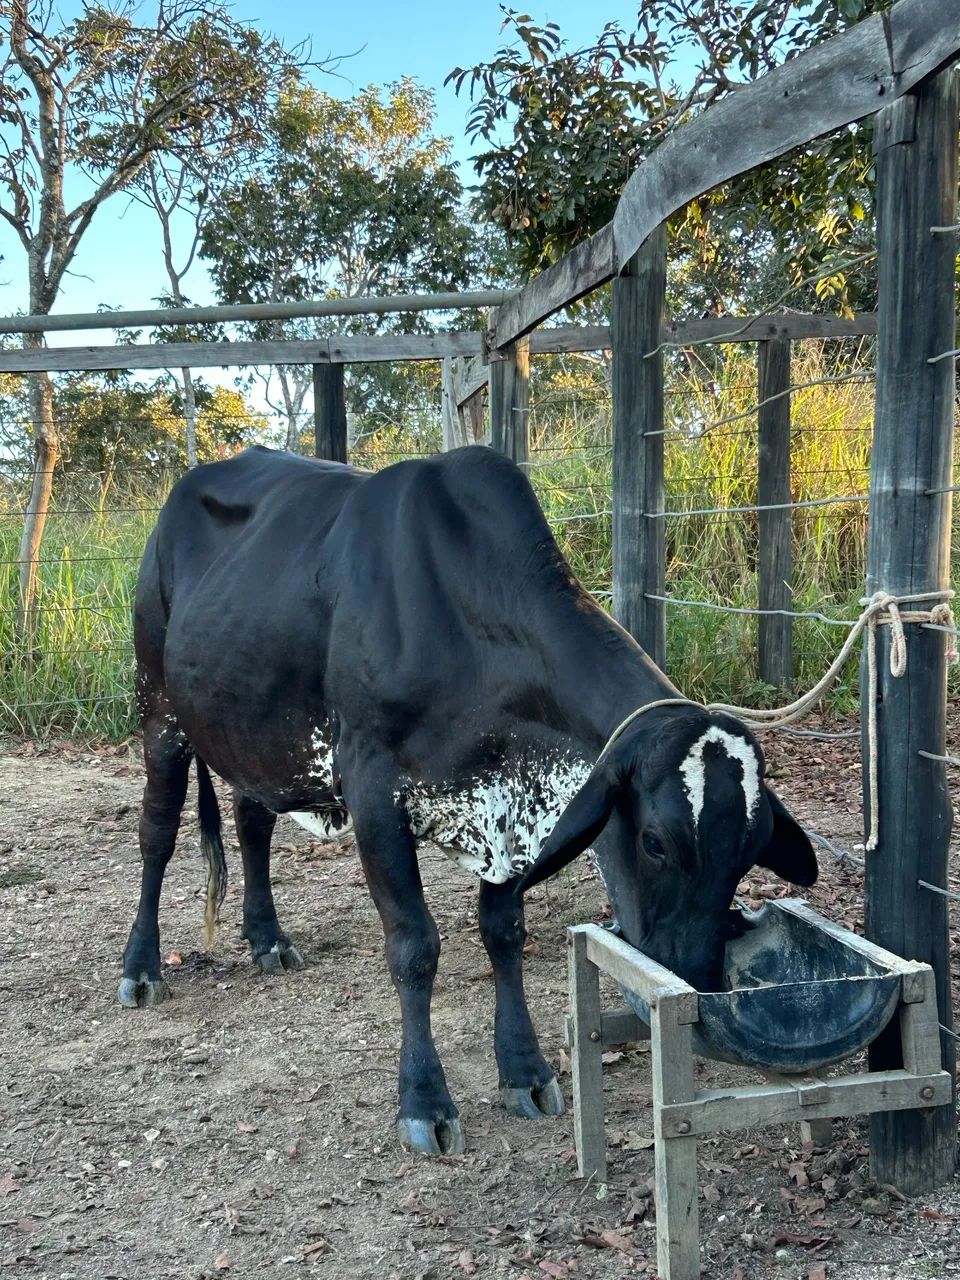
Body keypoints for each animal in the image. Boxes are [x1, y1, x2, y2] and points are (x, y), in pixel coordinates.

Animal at [119, 445, 816, 1156]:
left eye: (750, 852)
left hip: (251, 731)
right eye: (655, 842)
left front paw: (525, 1072)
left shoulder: (506, 813)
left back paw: (266, 940)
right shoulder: (373, 791)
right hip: (158, 710)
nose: (700, 983)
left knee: (251, 818)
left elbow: (503, 933)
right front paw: (424, 1101)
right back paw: (141, 967)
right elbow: (414, 947)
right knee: (156, 834)